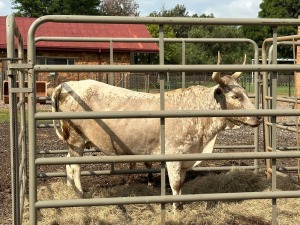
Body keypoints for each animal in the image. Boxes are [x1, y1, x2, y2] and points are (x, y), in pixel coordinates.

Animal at [51, 57, 260, 209]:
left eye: (244, 92)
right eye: (235, 96)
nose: (258, 118)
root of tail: (67, 85)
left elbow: (181, 183)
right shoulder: (174, 154)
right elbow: (175, 184)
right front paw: (176, 210)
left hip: (75, 142)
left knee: (67, 164)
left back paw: (72, 191)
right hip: (77, 139)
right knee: (75, 167)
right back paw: (80, 194)